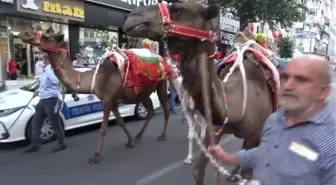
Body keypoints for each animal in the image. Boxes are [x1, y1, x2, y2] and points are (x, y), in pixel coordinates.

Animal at [19, 27, 176, 163]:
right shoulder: (112, 99)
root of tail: (162, 59)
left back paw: (162, 135)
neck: (94, 79)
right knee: (150, 110)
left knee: (166, 109)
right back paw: (138, 136)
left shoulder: (107, 99)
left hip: (161, 83)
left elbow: (103, 128)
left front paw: (96, 156)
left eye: (46, 36)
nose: (25, 33)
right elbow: (120, 121)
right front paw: (131, 142)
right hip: (143, 92)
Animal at [123, 1, 280, 184]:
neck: (238, 107)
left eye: (177, 8)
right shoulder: (216, 128)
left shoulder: (255, 133)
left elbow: (249, 172)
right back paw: (233, 173)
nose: (133, 16)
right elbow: (198, 171)